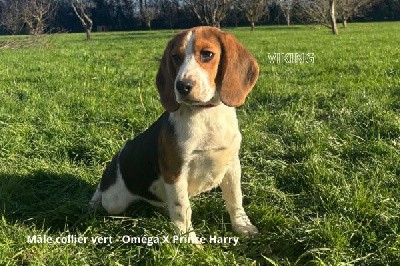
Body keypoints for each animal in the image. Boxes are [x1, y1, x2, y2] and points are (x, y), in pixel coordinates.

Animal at [90, 26, 260, 242]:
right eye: (175, 57)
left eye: (207, 54)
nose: (181, 86)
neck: (205, 113)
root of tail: (119, 155)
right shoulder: (175, 172)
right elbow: (182, 209)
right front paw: (189, 242)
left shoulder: (232, 165)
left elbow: (235, 198)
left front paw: (241, 225)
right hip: (115, 202)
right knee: (104, 194)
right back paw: (96, 200)